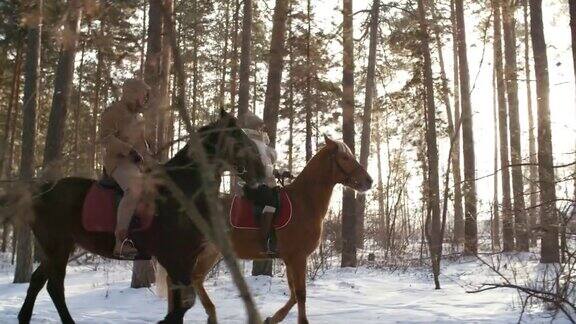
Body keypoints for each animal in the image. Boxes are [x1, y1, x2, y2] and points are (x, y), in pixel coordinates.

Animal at [6, 112, 268, 324]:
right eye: (238, 139)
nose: (263, 171)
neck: (182, 192)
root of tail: (42, 191)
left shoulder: (186, 259)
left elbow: (182, 301)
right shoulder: (173, 258)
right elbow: (186, 301)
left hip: (58, 248)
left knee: (38, 281)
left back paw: (24, 317)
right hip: (56, 246)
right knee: (54, 286)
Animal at [158, 135, 374, 324]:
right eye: (345, 158)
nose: (369, 181)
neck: (304, 202)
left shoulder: (289, 259)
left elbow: (294, 294)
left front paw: (272, 318)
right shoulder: (298, 257)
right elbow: (301, 294)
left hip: (210, 252)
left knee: (192, 279)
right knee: (179, 280)